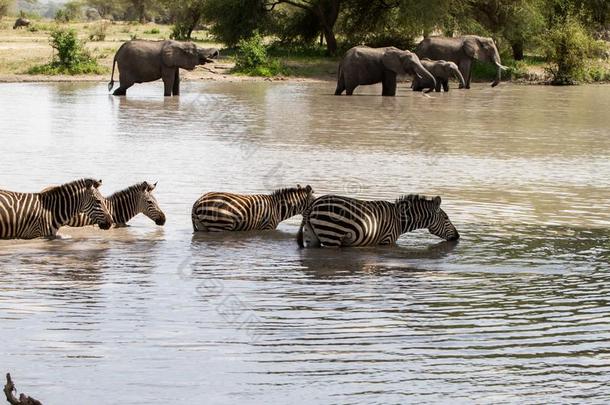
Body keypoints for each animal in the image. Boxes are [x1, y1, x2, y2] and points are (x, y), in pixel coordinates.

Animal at [296, 193, 458, 246]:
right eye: (446, 218)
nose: (458, 236)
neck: (399, 221)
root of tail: (313, 205)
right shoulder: (386, 241)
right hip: (331, 235)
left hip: (312, 237)